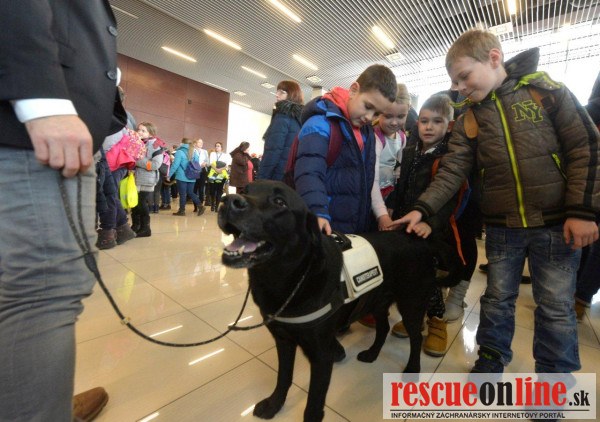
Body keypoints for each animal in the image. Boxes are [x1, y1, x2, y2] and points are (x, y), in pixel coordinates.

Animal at [218, 180, 461, 421]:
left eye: (279, 202)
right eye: (245, 190)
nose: (228, 200)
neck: (285, 280)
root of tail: (421, 241)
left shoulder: (321, 355)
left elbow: (313, 405)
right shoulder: (284, 340)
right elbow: (284, 377)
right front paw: (274, 405)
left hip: (411, 303)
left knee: (416, 337)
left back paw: (412, 370)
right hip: (377, 302)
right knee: (383, 328)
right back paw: (372, 353)